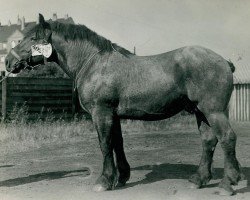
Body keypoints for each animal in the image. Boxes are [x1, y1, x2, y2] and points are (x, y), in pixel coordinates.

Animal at [4, 13, 243, 195]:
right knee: (209, 141)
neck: (93, 62)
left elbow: (105, 144)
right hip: (201, 112)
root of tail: (224, 61)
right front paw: (121, 177)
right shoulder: (114, 115)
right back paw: (199, 179)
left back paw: (227, 184)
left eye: (32, 38)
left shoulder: (101, 113)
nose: (7, 61)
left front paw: (104, 181)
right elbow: (117, 143)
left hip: (214, 111)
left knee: (227, 138)